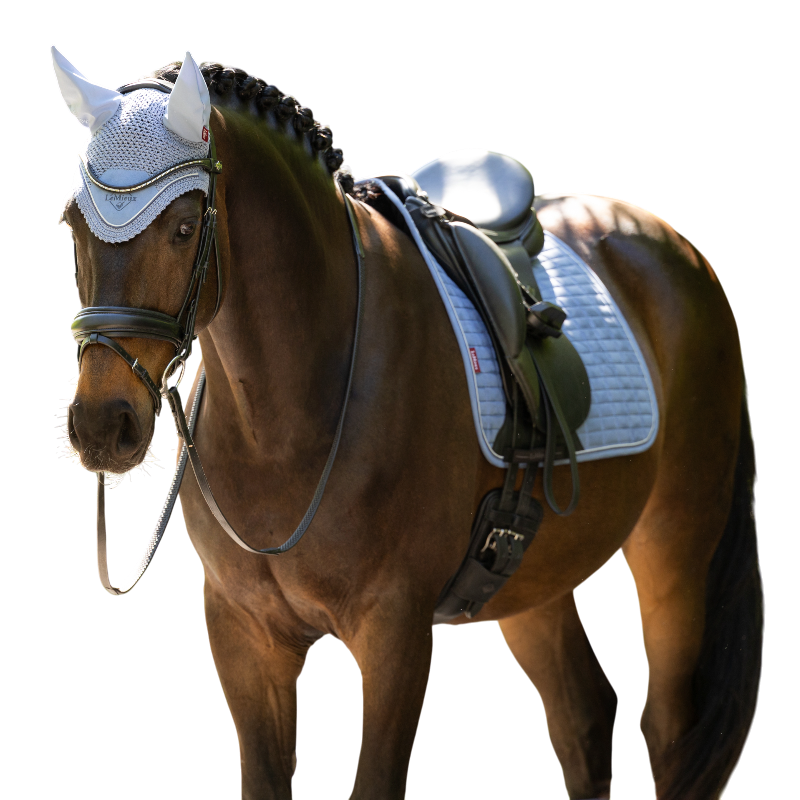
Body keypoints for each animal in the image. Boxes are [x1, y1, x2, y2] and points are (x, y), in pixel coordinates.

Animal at [57, 52, 763, 800]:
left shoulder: (394, 633)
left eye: (185, 227)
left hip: (677, 541)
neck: (290, 417)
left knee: (673, 733)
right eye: (72, 223)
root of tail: (674, 251)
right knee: (584, 716)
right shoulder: (243, 633)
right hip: (532, 578)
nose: (101, 425)